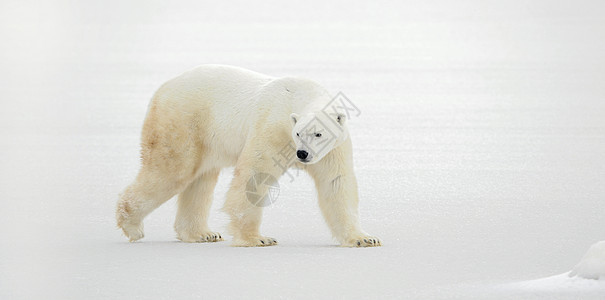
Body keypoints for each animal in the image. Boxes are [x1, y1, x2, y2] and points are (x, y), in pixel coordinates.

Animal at [115, 64, 380, 247]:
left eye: (318, 133)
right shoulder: (273, 127)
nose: (302, 154)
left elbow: (336, 183)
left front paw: (364, 238)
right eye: (297, 133)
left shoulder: (333, 150)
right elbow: (255, 174)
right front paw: (258, 238)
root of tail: (163, 87)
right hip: (182, 122)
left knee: (200, 181)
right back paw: (132, 226)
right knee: (172, 171)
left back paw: (202, 233)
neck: (301, 95)